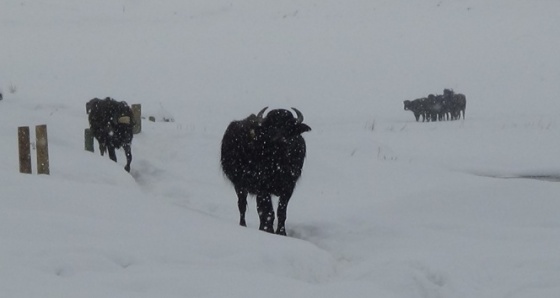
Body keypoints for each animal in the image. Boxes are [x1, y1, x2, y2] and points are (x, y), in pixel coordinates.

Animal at [221, 107, 312, 235]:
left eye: (288, 126)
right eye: (270, 126)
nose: (279, 139)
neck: (278, 162)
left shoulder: (288, 188)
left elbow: (281, 212)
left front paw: (281, 232)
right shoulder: (262, 188)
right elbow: (268, 212)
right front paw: (268, 230)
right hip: (239, 186)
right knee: (242, 206)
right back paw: (243, 225)